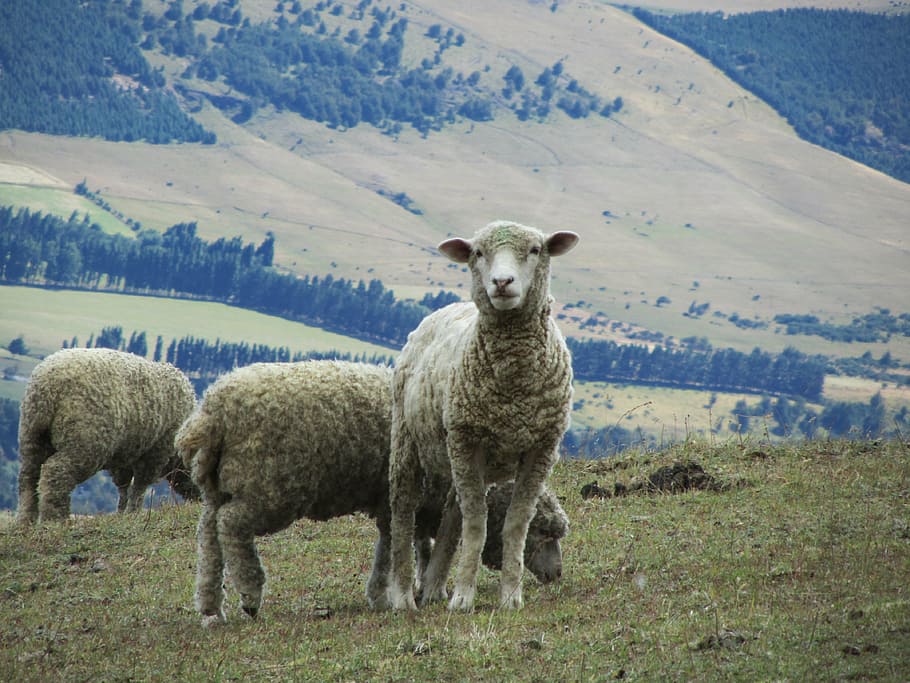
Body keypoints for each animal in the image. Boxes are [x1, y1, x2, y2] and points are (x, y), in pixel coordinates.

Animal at [16, 348, 197, 524]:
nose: (199, 502)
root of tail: (47, 386)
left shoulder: (125, 454)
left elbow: (124, 486)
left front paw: (121, 514)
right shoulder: (155, 452)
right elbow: (139, 486)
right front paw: (134, 513)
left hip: (32, 436)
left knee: (28, 478)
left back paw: (26, 521)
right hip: (84, 441)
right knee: (55, 472)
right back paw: (55, 519)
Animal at [174, 360, 568, 625]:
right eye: (543, 532)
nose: (557, 575)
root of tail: (211, 413)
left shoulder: (396, 505)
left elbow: (402, 546)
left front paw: (397, 590)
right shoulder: (403, 500)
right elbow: (396, 549)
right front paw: (393, 594)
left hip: (219, 484)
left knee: (209, 534)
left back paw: (211, 606)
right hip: (268, 486)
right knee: (232, 526)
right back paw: (250, 594)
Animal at [388, 220, 579, 611]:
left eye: (536, 250)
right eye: (478, 252)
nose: (502, 282)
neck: (512, 389)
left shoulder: (540, 450)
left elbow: (515, 523)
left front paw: (511, 596)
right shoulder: (467, 440)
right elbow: (477, 523)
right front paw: (464, 597)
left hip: (459, 458)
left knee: (451, 515)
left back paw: (433, 585)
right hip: (410, 440)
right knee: (404, 510)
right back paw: (404, 596)